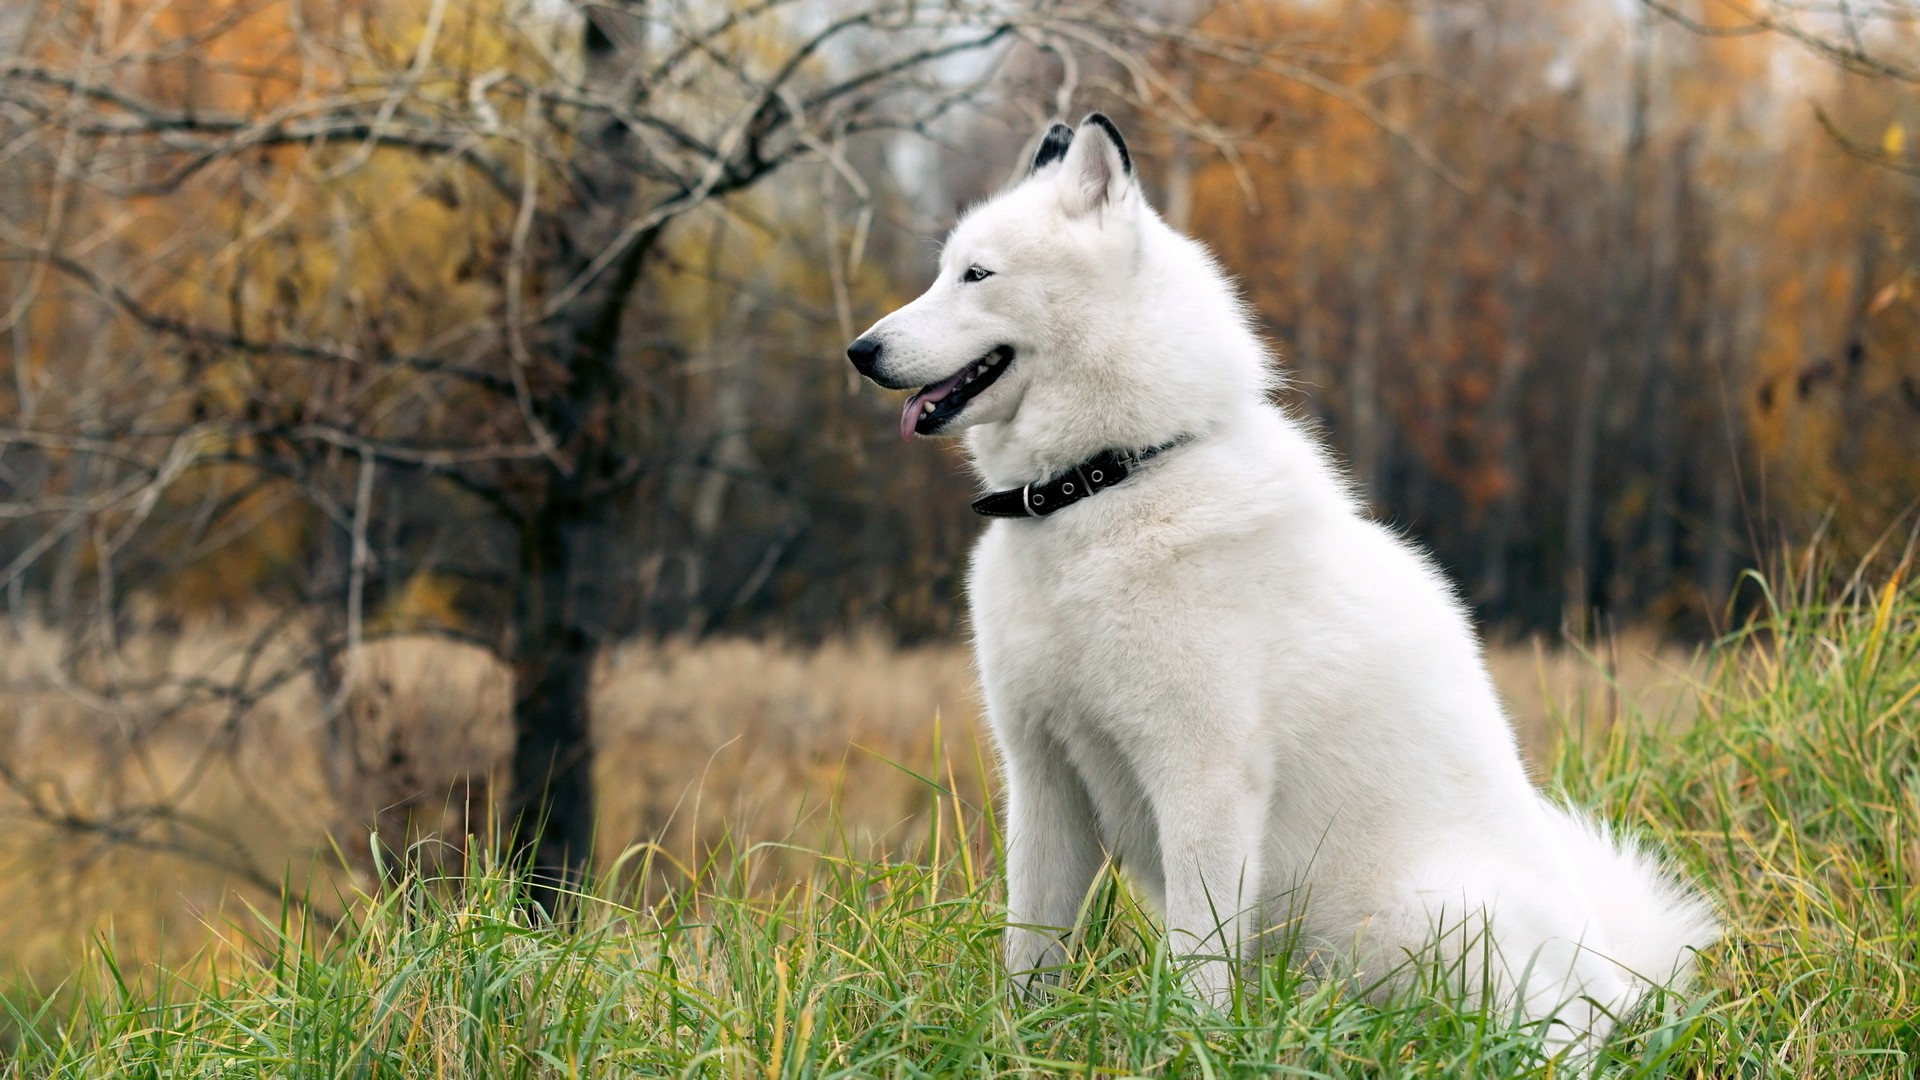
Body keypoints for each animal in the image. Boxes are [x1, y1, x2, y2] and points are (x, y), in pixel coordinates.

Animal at [848, 111, 1720, 1045]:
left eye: (977, 275)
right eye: (943, 270)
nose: (860, 351)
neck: (1106, 484)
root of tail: (1617, 980)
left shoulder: (1202, 777)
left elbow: (1198, 960)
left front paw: (1189, 1047)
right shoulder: (1044, 776)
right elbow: (1031, 951)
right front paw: (1024, 1045)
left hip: (1427, 917)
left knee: (1550, 1041)